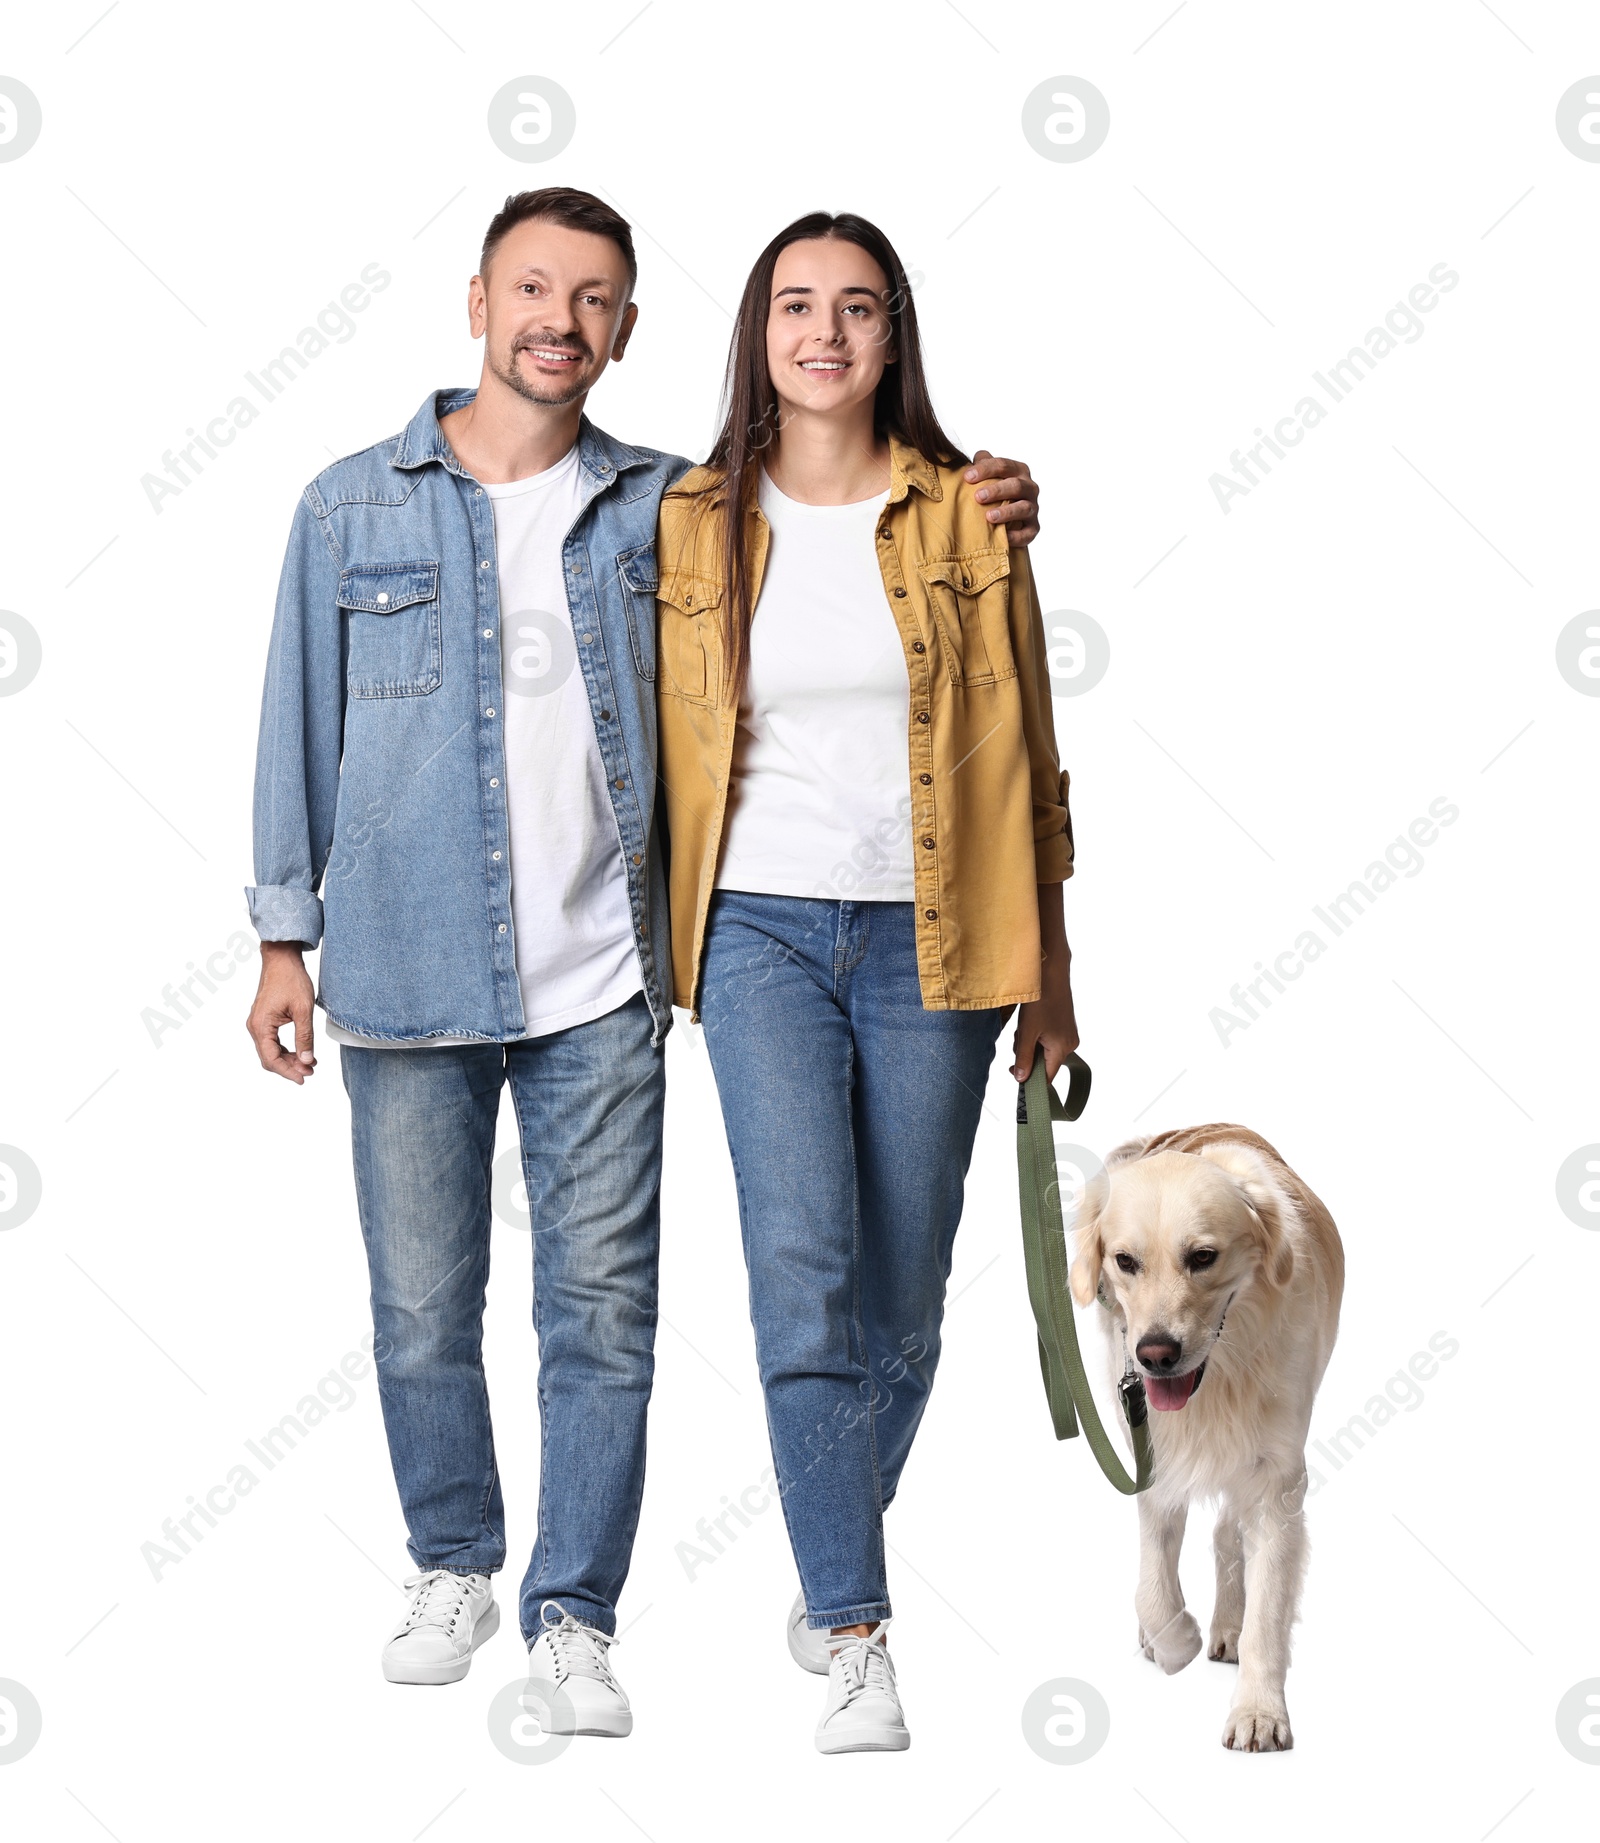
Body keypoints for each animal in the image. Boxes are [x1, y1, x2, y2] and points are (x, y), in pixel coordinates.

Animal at [1069, 1113, 1341, 1747]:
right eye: (1125, 1261)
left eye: (1203, 1257)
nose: (1155, 1354)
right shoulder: (1150, 1457)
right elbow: (1153, 1579)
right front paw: (1173, 1637)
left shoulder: (1277, 1478)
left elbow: (1268, 1609)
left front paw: (1259, 1712)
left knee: (1226, 1535)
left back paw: (1228, 1628)